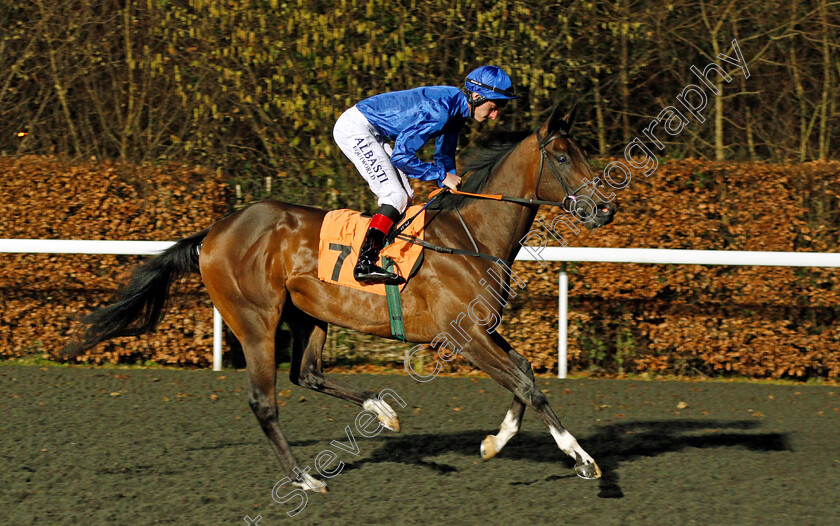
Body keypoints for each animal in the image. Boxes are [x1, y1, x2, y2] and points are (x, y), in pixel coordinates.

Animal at [65, 105, 616, 492]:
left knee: (307, 373)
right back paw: (305, 479)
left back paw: (381, 411)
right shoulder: (463, 337)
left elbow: (525, 373)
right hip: (255, 320)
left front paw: (493, 443)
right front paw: (585, 460)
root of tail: (215, 232)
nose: (605, 209)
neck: (469, 236)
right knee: (265, 401)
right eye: (563, 157)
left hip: (309, 314)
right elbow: (527, 386)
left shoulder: (482, 329)